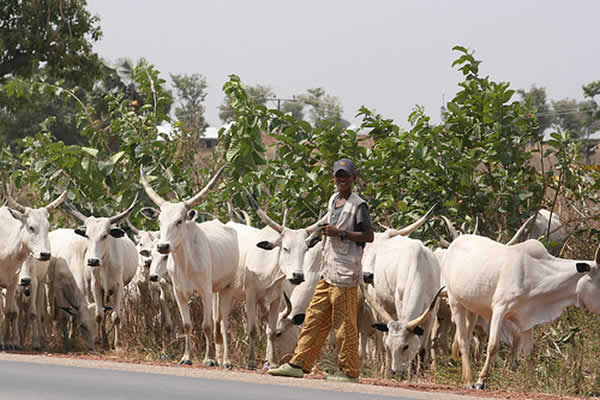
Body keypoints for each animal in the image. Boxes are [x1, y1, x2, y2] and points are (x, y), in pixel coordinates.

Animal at [140, 164, 239, 368]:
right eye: (159, 221)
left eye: (179, 221)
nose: (163, 246)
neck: (186, 263)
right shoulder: (178, 293)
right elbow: (187, 325)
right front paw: (186, 357)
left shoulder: (205, 292)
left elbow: (206, 325)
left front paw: (209, 359)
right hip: (216, 290)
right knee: (218, 321)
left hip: (227, 288)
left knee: (223, 323)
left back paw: (225, 361)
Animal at [440, 236, 596, 390]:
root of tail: (455, 242)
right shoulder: (500, 308)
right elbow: (493, 346)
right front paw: (481, 381)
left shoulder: (527, 320)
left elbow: (528, 353)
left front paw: (532, 383)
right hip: (455, 302)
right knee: (463, 340)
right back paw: (468, 380)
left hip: (472, 310)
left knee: (466, 335)